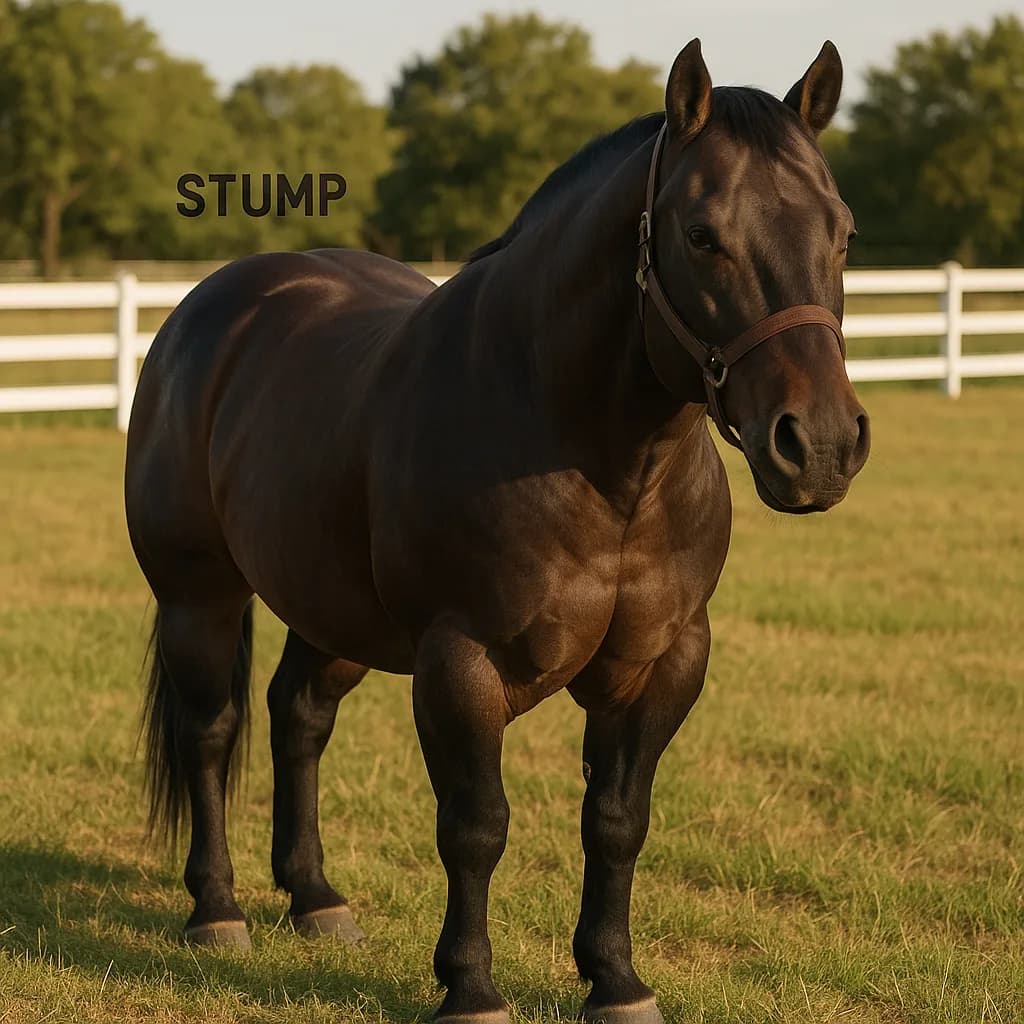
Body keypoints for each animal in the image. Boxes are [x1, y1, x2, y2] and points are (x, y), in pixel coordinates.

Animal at [125, 38, 869, 1024]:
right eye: (703, 234)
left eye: (843, 232)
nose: (818, 445)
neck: (600, 465)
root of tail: (208, 308)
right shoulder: (460, 662)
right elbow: (477, 827)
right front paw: (471, 988)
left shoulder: (663, 662)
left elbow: (617, 821)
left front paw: (616, 981)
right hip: (198, 595)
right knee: (212, 731)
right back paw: (217, 910)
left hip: (332, 612)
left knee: (300, 717)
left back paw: (316, 899)